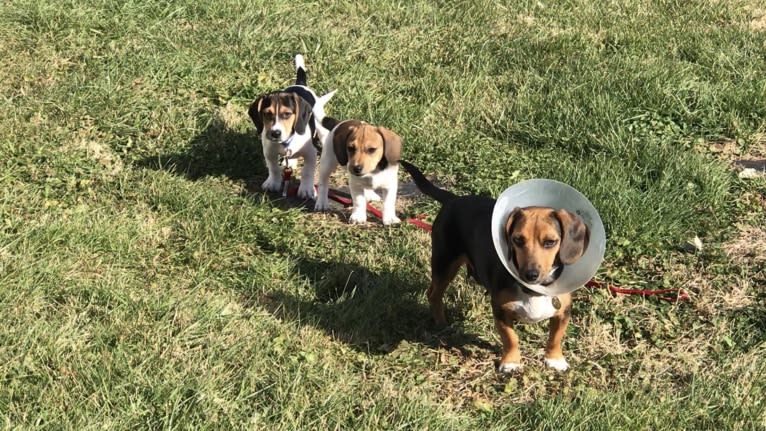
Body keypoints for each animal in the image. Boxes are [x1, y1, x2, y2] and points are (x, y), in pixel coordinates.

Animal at [249, 54, 336, 201]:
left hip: (321, 126)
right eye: (267, 114)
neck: (286, 142)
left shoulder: (311, 153)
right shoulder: (269, 152)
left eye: (287, 114)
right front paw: (273, 182)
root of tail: (300, 85)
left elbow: (307, 171)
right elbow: (273, 168)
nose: (275, 133)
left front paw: (306, 189)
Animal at [400, 160, 592, 372]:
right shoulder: (500, 310)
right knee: (433, 293)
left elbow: (555, 337)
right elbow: (511, 338)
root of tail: (453, 199)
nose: (530, 274)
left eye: (550, 242)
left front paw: (555, 359)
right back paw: (442, 323)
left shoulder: (563, 312)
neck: (532, 291)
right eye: (517, 240)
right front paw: (511, 362)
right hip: (444, 262)